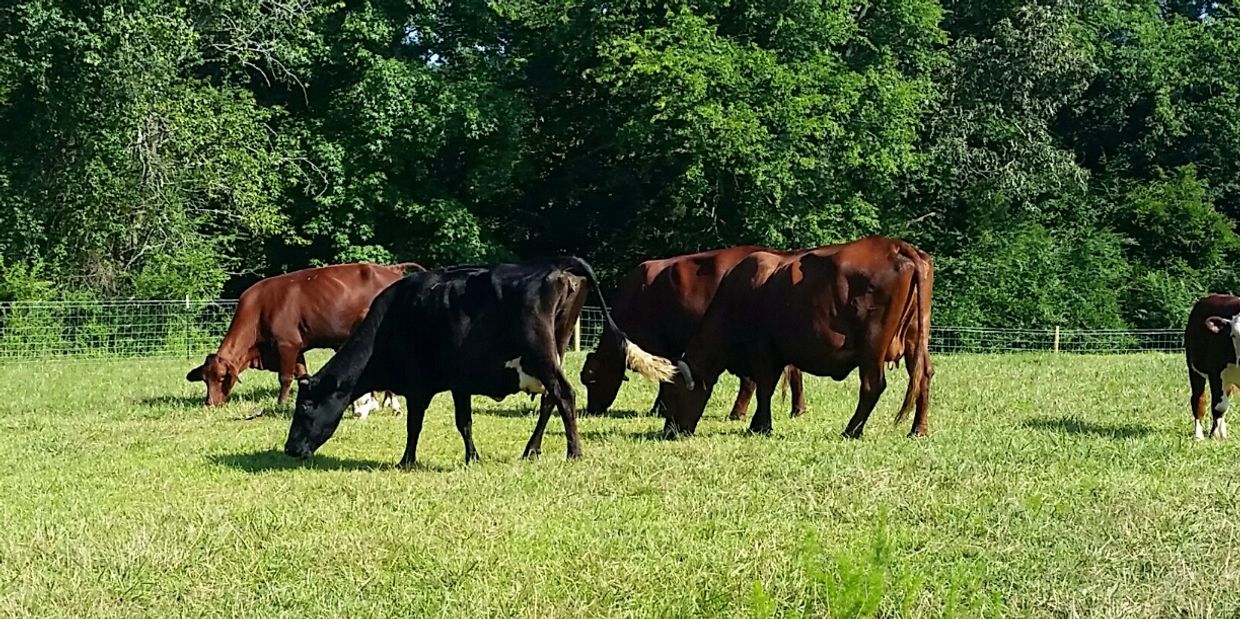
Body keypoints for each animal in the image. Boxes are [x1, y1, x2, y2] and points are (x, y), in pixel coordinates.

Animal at [183, 262, 424, 411]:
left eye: (221, 378)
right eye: (205, 379)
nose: (210, 403)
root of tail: (392, 269)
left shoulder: (286, 345)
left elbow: (285, 377)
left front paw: (280, 404)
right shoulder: (296, 349)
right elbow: (302, 374)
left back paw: (391, 404)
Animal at [282, 255, 679, 466]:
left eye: (305, 407)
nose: (289, 449)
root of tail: (554, 267)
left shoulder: (418, 385)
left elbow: (414, 425)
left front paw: (407, 460)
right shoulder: (459, 383)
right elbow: (464, 422)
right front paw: (472, 457)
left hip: (541, 355)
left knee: (564, 395)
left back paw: (573, 452)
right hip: (556, 352)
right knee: (551, 400)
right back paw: (531, 450)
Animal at [577, 246, 808, 421]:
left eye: (591, 379)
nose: (592, 411)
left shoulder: (661, 345)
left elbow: (665, 377)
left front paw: (659, 409)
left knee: (751, 380)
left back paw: (738, 413)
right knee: (793, 371)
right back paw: (797, 409)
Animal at [659, 234, 932, 439]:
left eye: (673, 394)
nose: (668, 432)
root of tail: (894, 245)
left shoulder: (762, 351)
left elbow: (764, 387)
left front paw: (760, 426)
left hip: (872, 345)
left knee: (872, 384)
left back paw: (851, 430)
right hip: (916, 338)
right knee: (923, 376)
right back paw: (918, 429)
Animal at [1180, 293, 1240, 441]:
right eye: (1233, 335)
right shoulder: (1215, 373)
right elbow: (1219, 407)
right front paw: (1214, 434)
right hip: (1195, 370)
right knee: (1199, 401)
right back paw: (1199, 435)